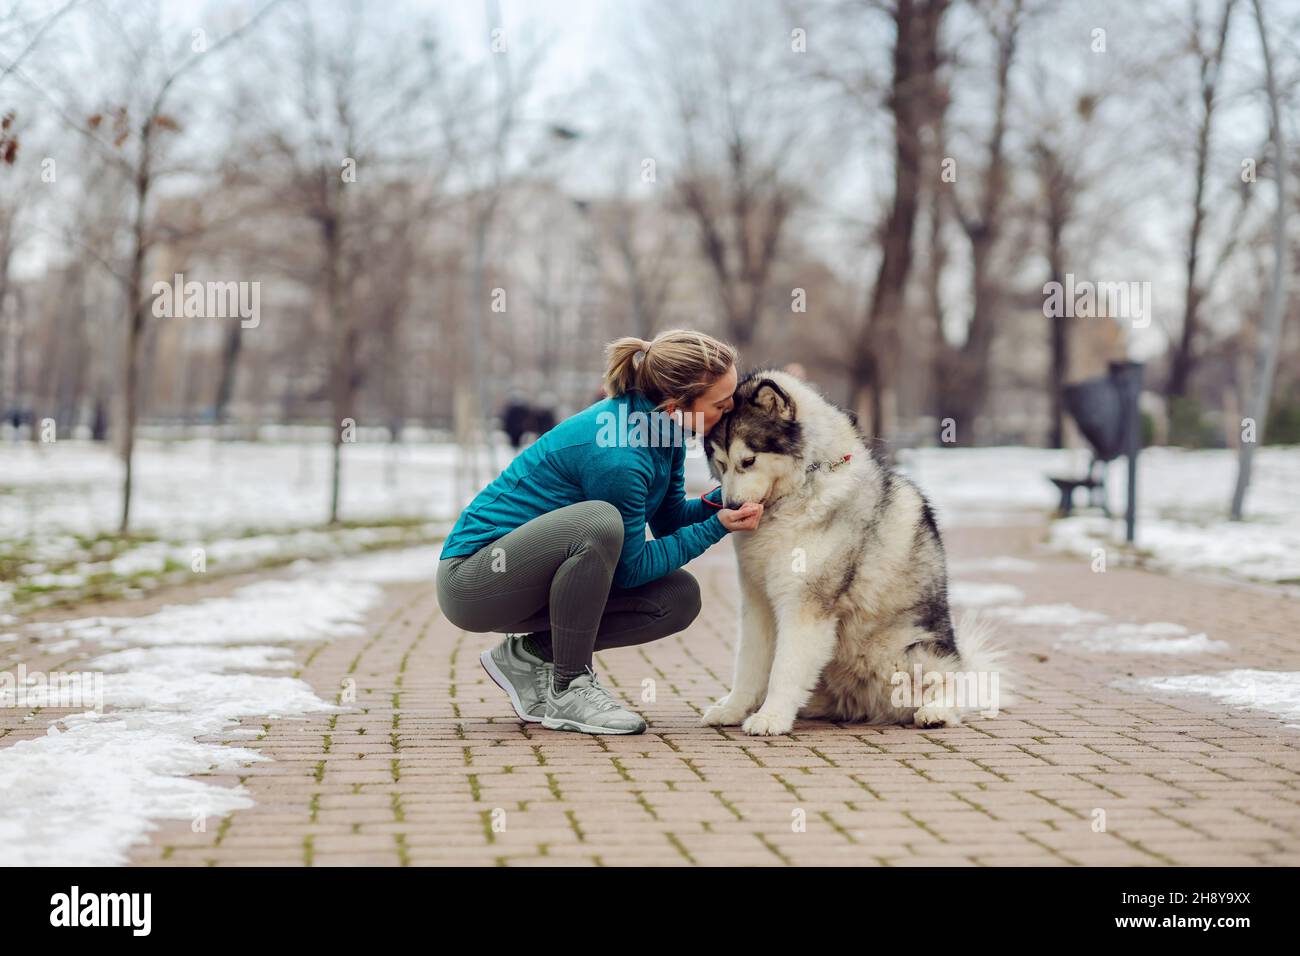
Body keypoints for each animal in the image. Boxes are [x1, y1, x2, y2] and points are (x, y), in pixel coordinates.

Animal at [702, 369, 1003, 738]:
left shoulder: (805, 606)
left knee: (955, 684)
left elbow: (784, 669)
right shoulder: (758, 602)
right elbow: (748, 665)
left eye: (748, 460)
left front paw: (770, 717)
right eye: (721, 463)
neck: (802, 487)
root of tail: (862, 705)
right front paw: (733, 708)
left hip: (908, 652)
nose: (730, 507)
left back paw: (936, 711)